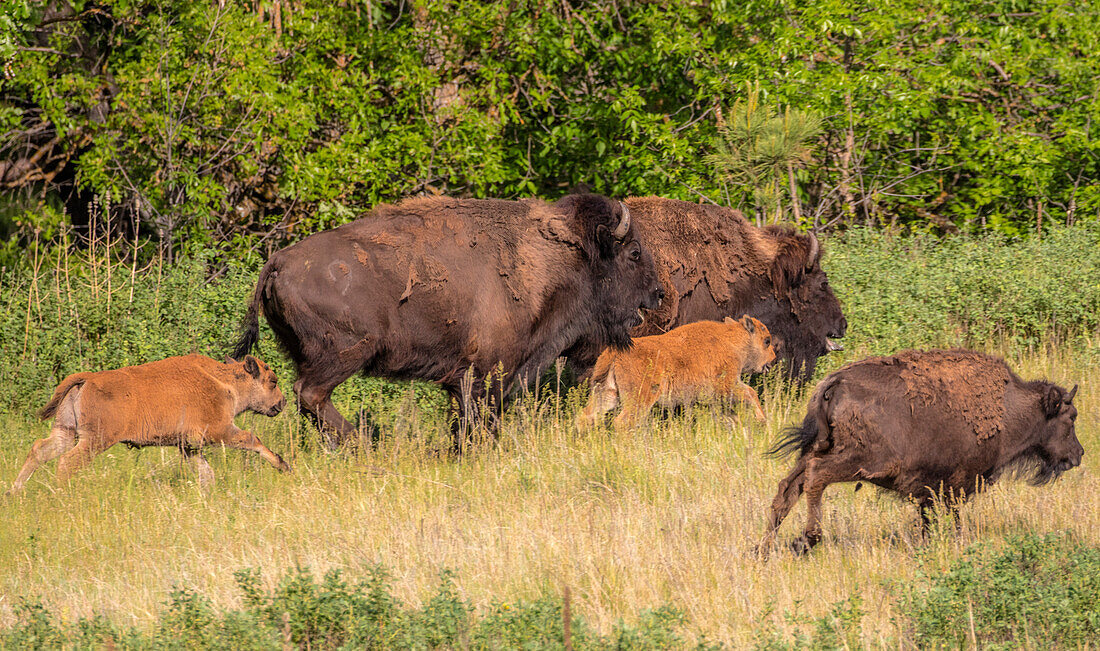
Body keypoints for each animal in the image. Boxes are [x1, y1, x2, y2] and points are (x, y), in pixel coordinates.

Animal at [7, 356, 292, 492]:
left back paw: (13, 492)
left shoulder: (189, 446)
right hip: (94, 441)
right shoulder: (220, 431)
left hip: (65, 432)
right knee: (67, 463)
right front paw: (284, 466)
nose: (282, 402)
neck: (226, 381)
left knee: (40, 450)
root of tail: (87, 378)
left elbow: (205, 473)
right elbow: (252, 440)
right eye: (272, 381)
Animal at [233, 193, 660, 448]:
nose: (656, 293)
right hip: (347, 352)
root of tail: (278, 261)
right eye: (634, 252)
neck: (556, 260)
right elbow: (480, 418)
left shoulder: (466, 378)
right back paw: (364, 444)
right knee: (311, 393)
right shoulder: (487, 372)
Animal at [572, 316, 778, 433]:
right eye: (767, 341)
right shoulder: (727, 386)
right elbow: (751, 393)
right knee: (623, 422)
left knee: (586, 417)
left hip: (606, 392)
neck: (732, 340)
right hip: (640, 398)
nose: (773, 359)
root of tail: (614, 353)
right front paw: (762, 420)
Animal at [761, 347, 1086, 556]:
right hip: (860, 461)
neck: (1009, 408)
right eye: (1070, 417)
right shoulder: (956, 483)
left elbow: (929, 519)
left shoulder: (931, 489)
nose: (1078, 454)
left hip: (815, 450)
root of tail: (834, 383)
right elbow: (952, 518)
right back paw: (806, 541)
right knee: (816, 477)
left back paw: (762, 549)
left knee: (788, 487)